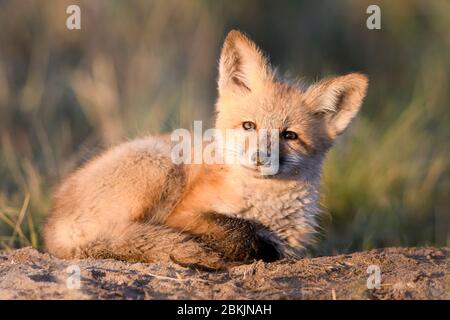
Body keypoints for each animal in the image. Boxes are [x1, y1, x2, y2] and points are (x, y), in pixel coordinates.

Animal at [42, 30, 368, 270]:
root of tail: (52, 224)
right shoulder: (182, 215)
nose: (260, 158)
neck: (264, 208)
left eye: (289, 135)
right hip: (161, 167)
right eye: (249, 126)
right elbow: (241, 231)